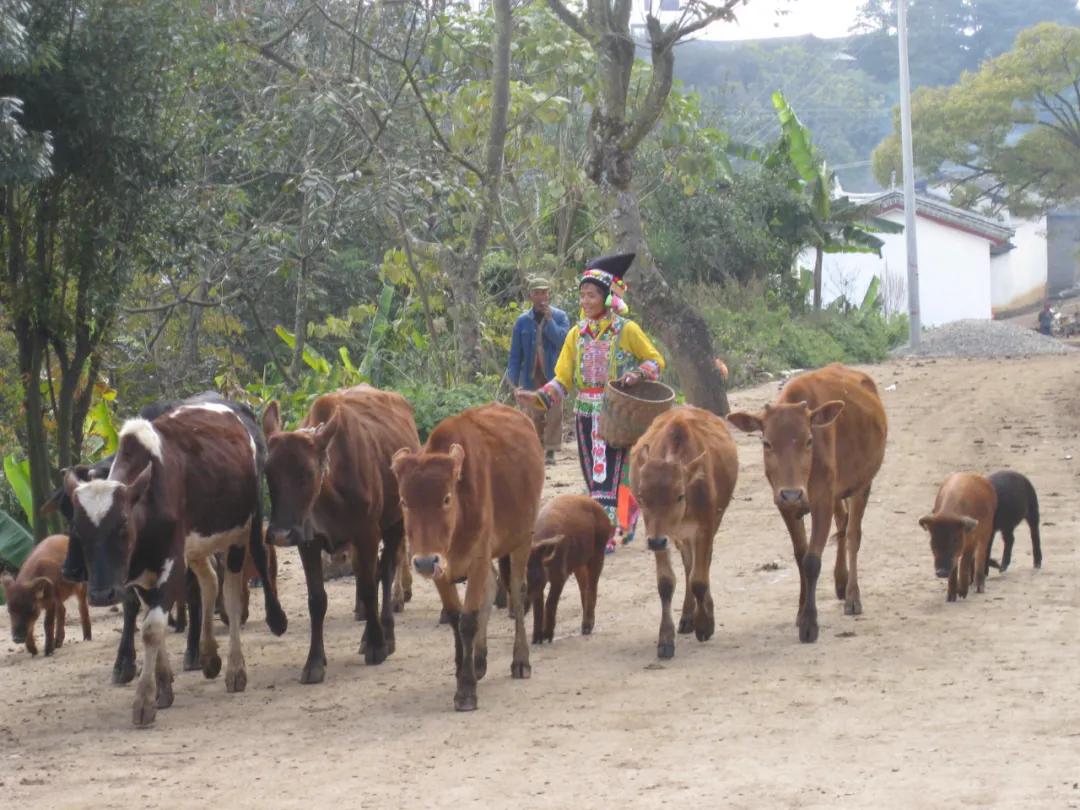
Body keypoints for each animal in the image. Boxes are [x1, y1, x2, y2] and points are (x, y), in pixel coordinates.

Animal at [62, 399, 282, 730]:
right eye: (78, 528)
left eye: (123, 525)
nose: (101, 595)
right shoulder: (139, 573)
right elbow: (151, 621)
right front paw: (163, 686)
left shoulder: (172, 563)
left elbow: (152, 628)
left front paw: (144, 701)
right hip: (198, 545)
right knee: (209, 582)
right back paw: (209, 655)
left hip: (242, 532)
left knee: (232, 596)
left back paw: (236, 667)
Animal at [261, 386, 421, 686]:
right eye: (268, 473)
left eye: (307, 472)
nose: (280, 534)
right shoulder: (308, 542)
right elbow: (316, 599)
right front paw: (314, 661)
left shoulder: (367, 533)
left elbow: (369, 587)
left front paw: (376, 644)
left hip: (395, 523)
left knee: (385, 571)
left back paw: (385, 633)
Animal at [527, 494, 613, 648]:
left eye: (535, 573)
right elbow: (538, 607)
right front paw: (536, 640)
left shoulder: (560, 576)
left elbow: (550, 602)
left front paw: (548, 636)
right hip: (579, 563)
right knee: (584, 587)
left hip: (599, 550)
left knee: (592, 586)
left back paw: (586, 628)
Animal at [630, 408, 738, 660]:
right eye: (641, 496)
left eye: (679, 495)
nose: (656, 541)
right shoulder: (660, 535)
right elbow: (666, 582)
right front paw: (665, 639)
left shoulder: (705, 528)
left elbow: (699, 579)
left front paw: (705, 625)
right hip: (679, 537)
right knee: (689, 565)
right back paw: (687, 616)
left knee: (701, 566)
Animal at [725, 365, 885, 643]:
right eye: (766, 442)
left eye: (809, 440)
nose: (792, 494)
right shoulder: (785, 506)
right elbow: (800, 557)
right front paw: (801, 613)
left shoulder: (821, 501)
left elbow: (812, 561)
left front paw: (810, 623)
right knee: (842, 523)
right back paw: (840, 581)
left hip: (862, 484)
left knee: (853, 535)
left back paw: (852, 596)